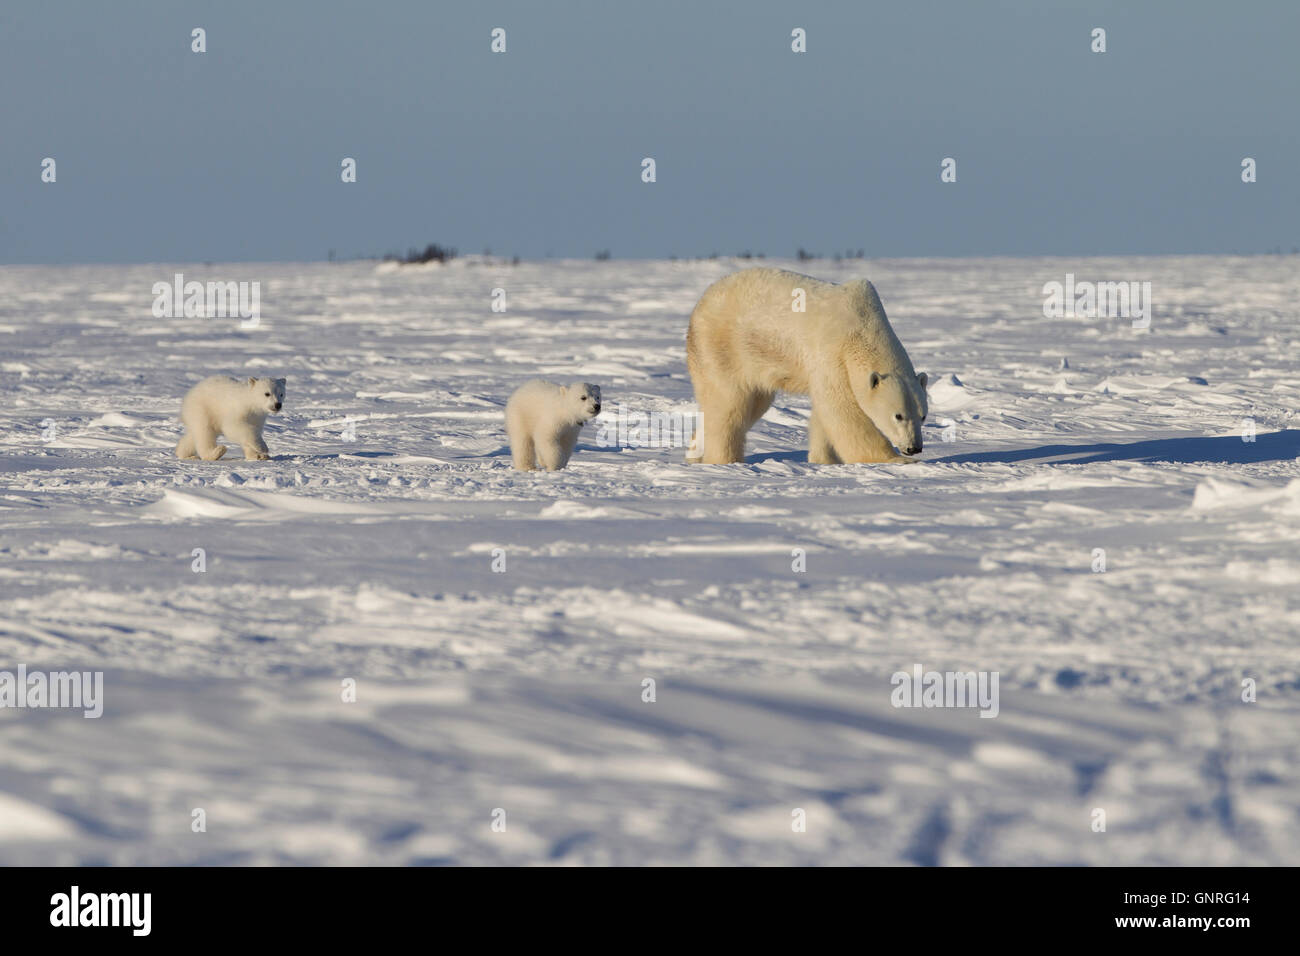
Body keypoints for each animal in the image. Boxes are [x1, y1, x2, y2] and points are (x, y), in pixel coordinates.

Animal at [686, 267, 930, 465]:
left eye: (923, 415)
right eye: (898, 415)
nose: (914, 448)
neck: (863, 326)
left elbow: (825, 414)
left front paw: (824, 460)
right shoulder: (832, 353)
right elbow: (842, 410)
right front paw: (895, 459)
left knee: (752, 403)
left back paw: (694, 453)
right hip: (723, 346)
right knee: (728, 403)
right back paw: (723, 460)